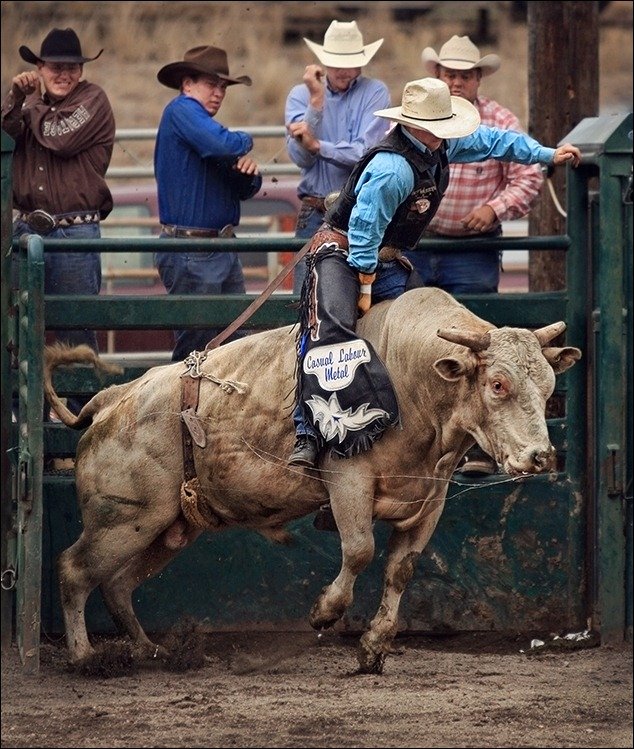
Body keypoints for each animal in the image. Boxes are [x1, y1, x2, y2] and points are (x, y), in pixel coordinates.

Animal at [42, 286, 580, 672]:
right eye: (497, 384)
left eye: (549, 385)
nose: (540, 456)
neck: (411, 380)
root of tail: (113, 399)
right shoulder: (348, 481)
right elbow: (359, 550)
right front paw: (325, 611)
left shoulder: (431, 497)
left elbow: (401, 568)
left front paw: (374, 647)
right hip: (124, 518)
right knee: (75, 570)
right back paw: (85, 657)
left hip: (168, 527)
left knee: (117, 585)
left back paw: (150, 650)